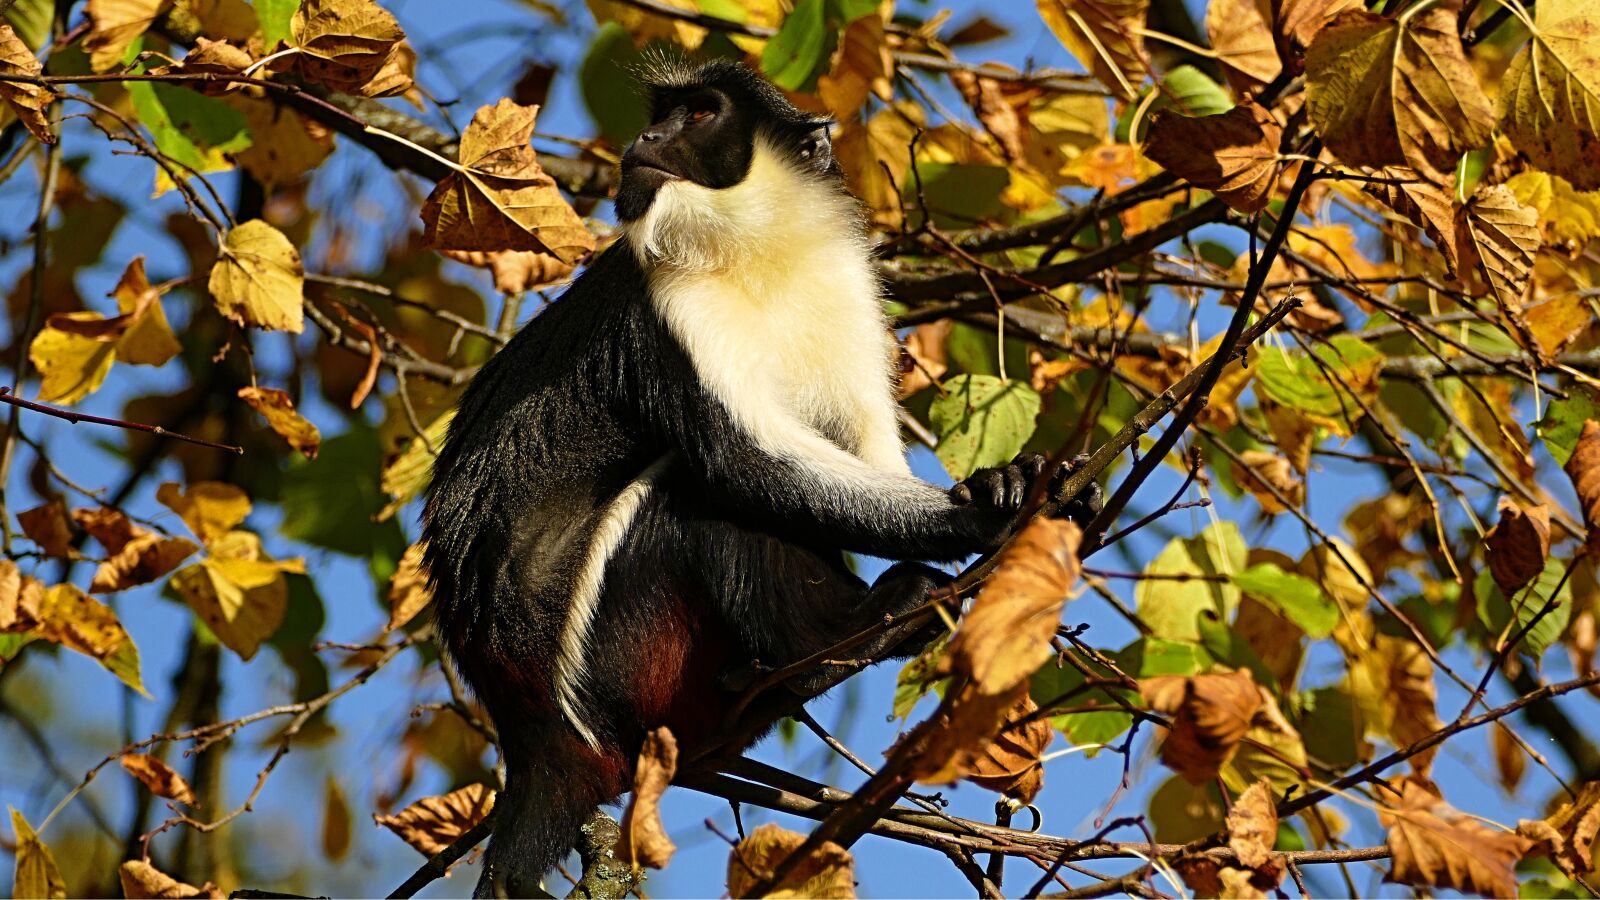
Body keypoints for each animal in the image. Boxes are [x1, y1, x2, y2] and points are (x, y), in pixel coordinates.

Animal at [423, 59, 1101, 897]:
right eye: (665, 115)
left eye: (699, 113)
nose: (645, 139)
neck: (761, 249)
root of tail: (536, 740)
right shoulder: (672, 304)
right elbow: (744, 463)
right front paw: (983, 519)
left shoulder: (846, 285)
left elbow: (867, 455)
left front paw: (1009, 482)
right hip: (620, 656)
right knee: (690, 494)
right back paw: (847, 636)